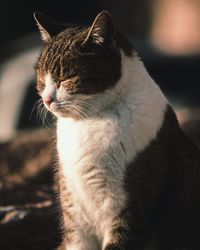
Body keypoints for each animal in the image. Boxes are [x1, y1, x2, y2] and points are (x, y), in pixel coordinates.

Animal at [34, 10, 200, 250]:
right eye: (41, 77)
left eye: (67, 77)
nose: (47, 100)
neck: (89, 121)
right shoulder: (75, 214)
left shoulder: (129, 211)